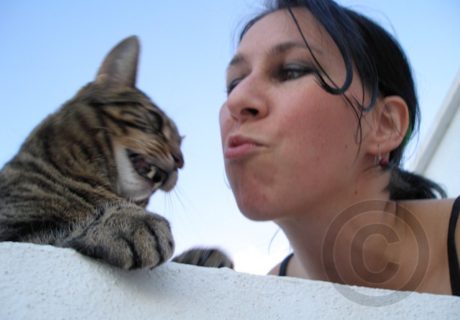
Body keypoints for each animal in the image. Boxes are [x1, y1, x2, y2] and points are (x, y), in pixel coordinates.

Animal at [0, 36, 183, 268]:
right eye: (156, 120)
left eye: (181, 143)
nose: (181, 161)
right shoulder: (13, 229)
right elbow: (58, 231)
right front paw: (126, 220)